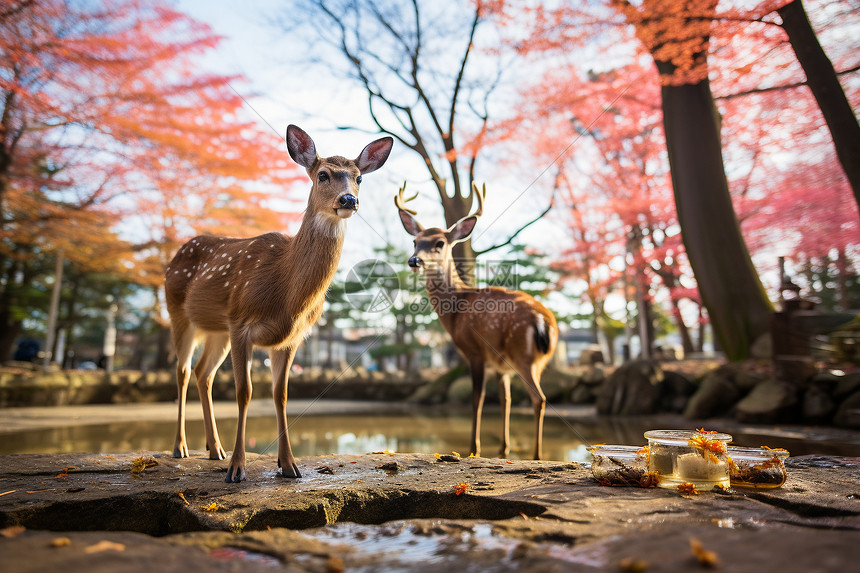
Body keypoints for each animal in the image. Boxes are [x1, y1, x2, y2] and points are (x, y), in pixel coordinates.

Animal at [165, 126, 394, 482]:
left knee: (204, 374)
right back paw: (181, 447)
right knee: (183, 371)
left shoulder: (290, 338)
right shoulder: (241, 324)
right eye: (323, 174)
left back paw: (215, 449)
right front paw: (237, 469)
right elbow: (244, 393)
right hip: (180, 313)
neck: (286, 294)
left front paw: (289, 465)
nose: (349, 200)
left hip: (217, 330)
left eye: (359, 178)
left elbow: (281, 395)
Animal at [394, 183, 556, 460]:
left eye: (439, 242)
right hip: (538, 359)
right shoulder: (501, 366)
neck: (456, 310)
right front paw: (503, 449)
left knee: (539, 398)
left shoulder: (474, 351)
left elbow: (476, 399)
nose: (415, 260)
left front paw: (474, 449)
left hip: (523, 355)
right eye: (415, 241)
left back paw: (537, 456)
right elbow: (505, 400)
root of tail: (543, 321)